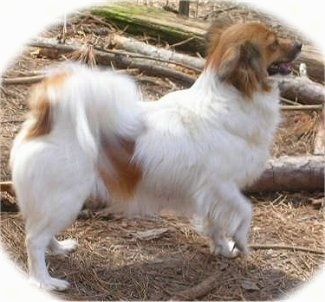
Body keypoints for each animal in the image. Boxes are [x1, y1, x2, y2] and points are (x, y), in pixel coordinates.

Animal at [10, 21, 302, 290]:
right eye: (274, 43)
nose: (299, 44)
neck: (233, 97)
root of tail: (46, 121)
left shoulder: (212, 195)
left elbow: (215, 224)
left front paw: (222, 248)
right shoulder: (221, 186)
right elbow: (246, 210)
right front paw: (240, 241)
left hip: (57, 202)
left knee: (41, 232)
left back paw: (59, 248)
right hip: (65, 199)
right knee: (33, 240)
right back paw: (45, 281)